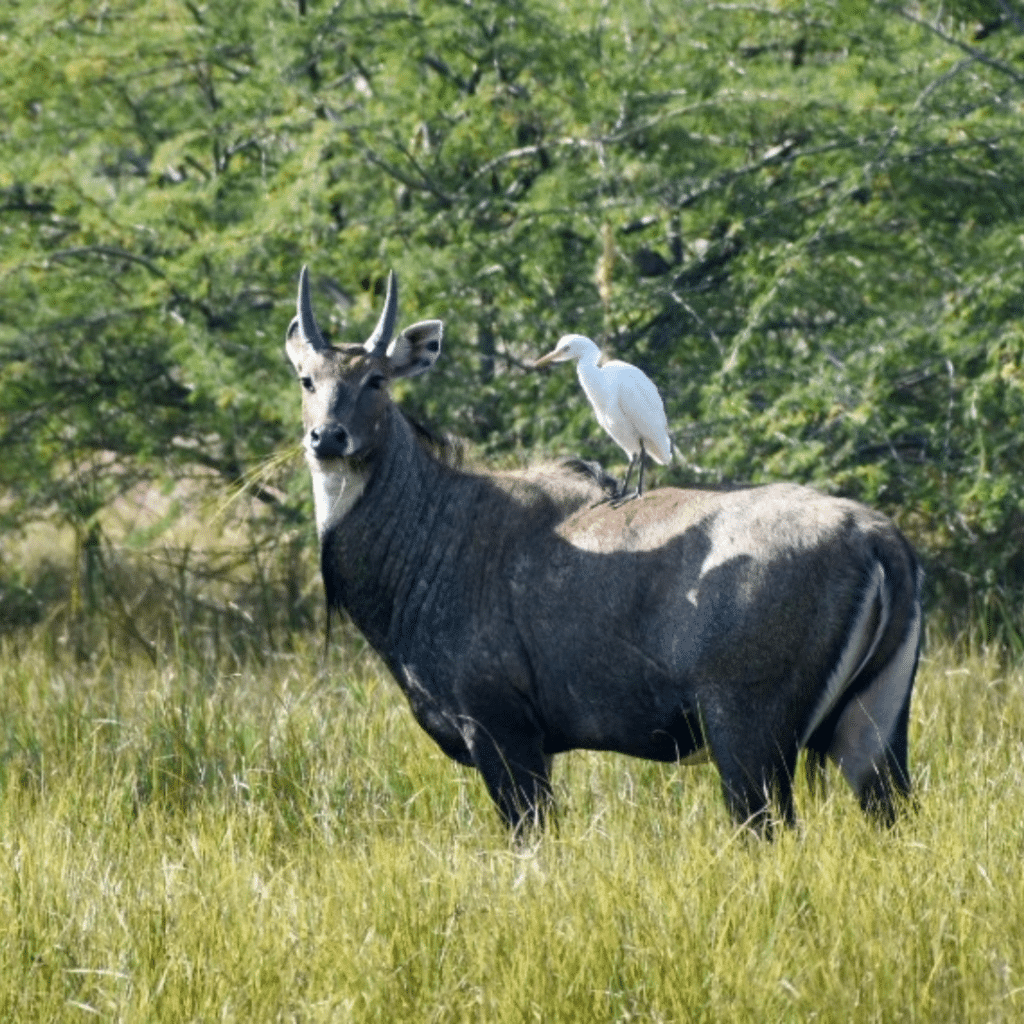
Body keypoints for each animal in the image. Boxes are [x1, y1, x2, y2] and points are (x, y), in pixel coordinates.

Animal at [284, 264, 925, 831]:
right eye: (307, 379)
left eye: (377, 379)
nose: (328, 438)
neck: (432, 530)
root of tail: (876, 537)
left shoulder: (499, 729)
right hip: (872, 729)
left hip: (749, 736)